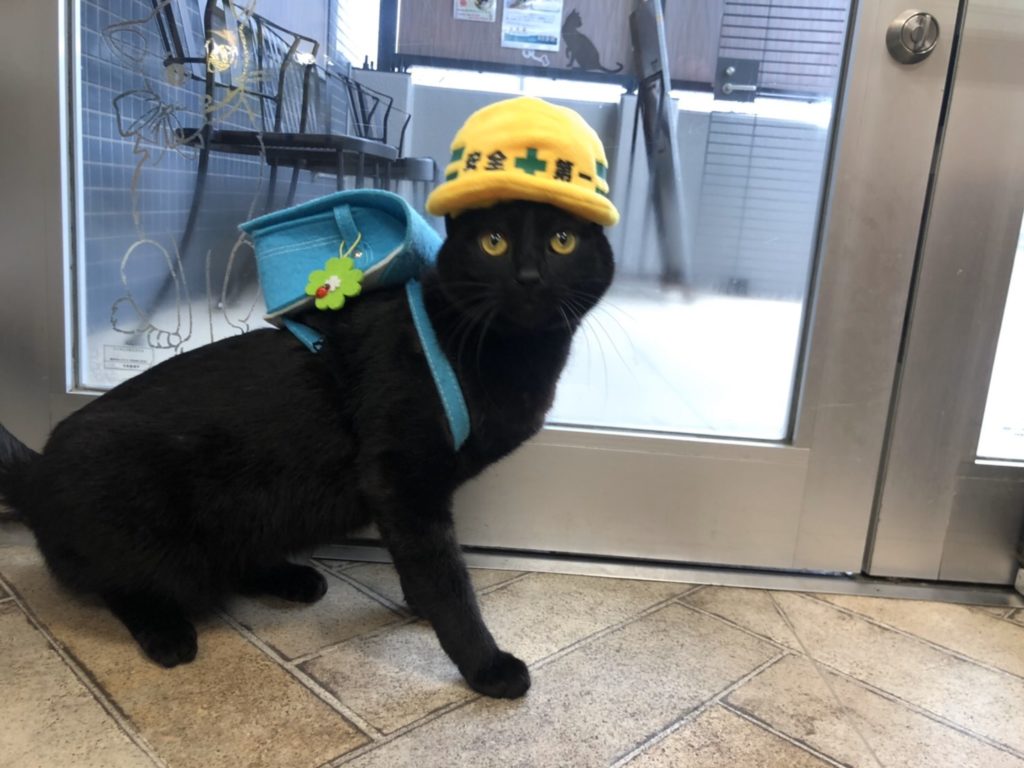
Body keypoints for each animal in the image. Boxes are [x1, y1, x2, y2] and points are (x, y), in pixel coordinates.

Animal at [0, 200, 614, 699]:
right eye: (495, 242)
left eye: (563, 241)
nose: (529, 277)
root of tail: (35, 474)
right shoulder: (402, 482)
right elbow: (447, 580)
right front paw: (485, 665)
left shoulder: (407, 498)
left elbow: (423, 566)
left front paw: (422, 609)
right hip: (156, 539)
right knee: (121, 583)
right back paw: (167, 632)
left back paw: (292, 578)